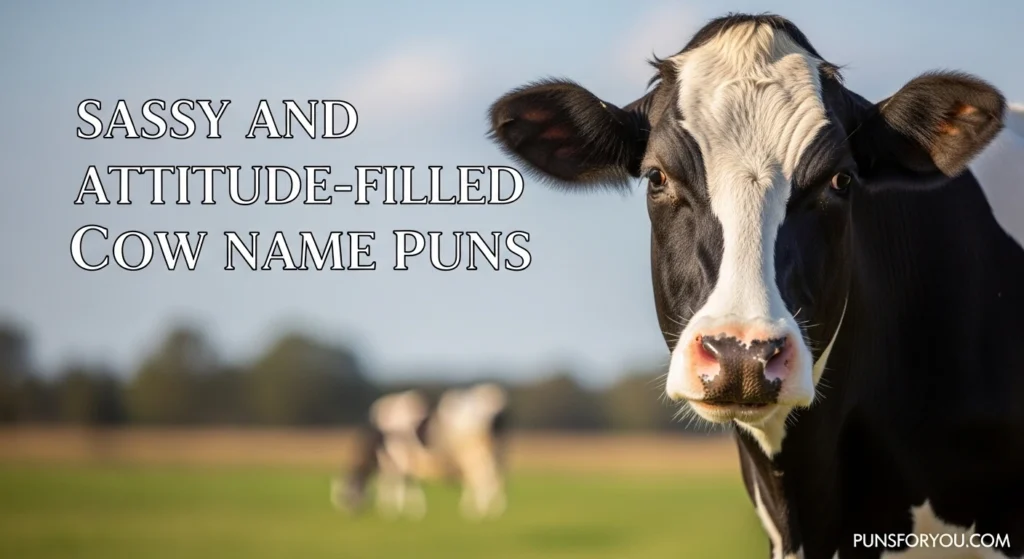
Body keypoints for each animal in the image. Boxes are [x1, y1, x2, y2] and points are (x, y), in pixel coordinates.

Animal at [331, 383, 510, 520]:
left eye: (343, 498)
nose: (349, 515)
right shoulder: (405, 459)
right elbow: (408, 482)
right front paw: (414, 511)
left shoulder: (392, 458)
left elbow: (391, 482)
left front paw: (390, 512)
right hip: (495, 452)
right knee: (492, 478)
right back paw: (495, 509)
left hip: (474, 452)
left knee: (481, 478)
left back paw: (476, 512)